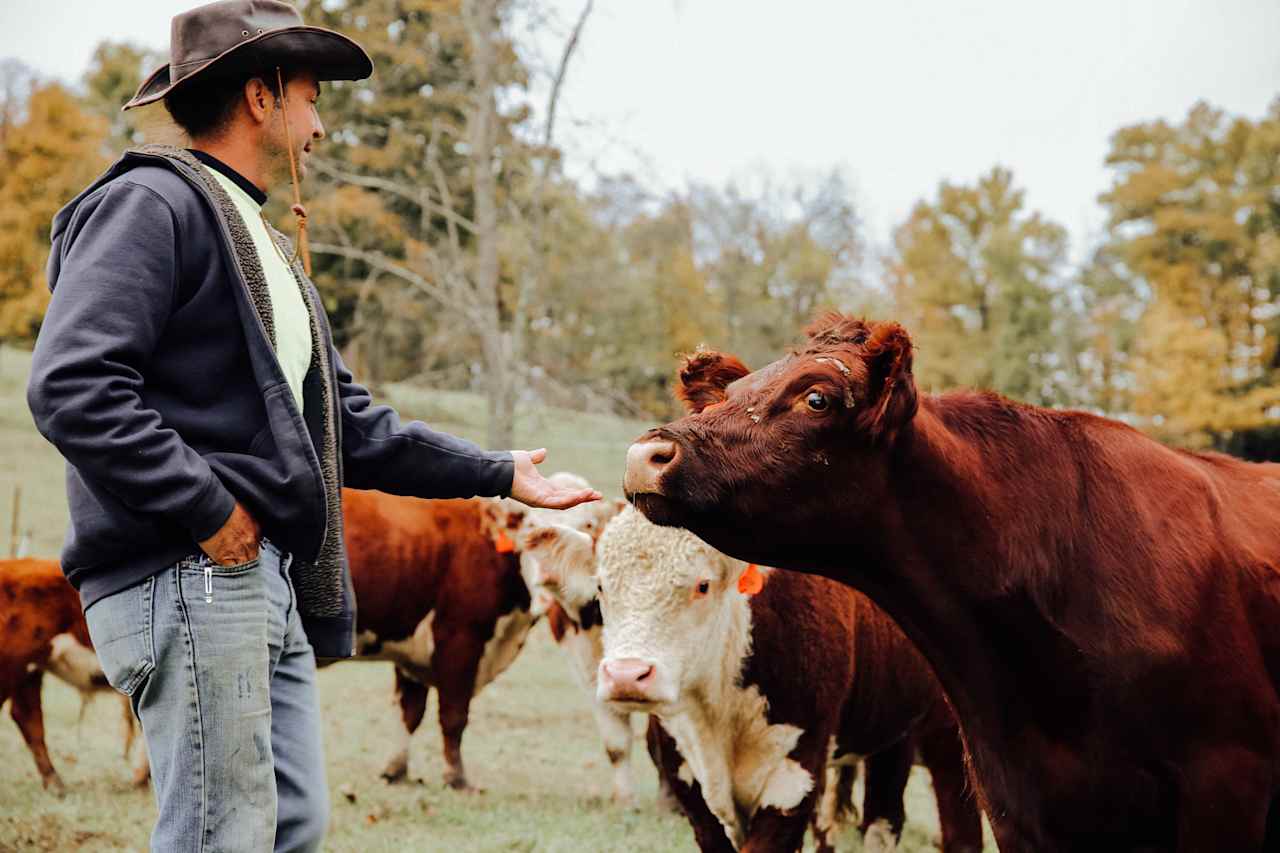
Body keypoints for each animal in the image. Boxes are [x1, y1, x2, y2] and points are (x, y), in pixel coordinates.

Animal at [591, 504, 977, 850]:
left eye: (702, 585)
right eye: (601, 588)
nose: (627, 675)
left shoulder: (792, 782)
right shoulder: (691, 788)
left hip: (939, 735)